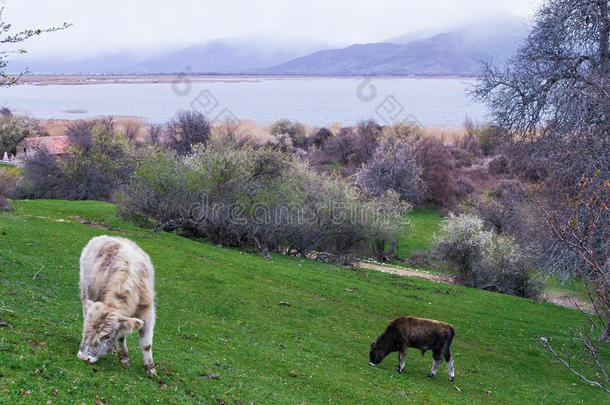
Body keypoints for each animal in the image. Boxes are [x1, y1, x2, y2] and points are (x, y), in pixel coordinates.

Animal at [77, 235, 157, 374]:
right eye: (85, 329)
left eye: (107, 336)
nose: (83, 357)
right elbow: (121, 336)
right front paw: (124, 358)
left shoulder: (148, 313)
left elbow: (146, 344)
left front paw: (150, 368)